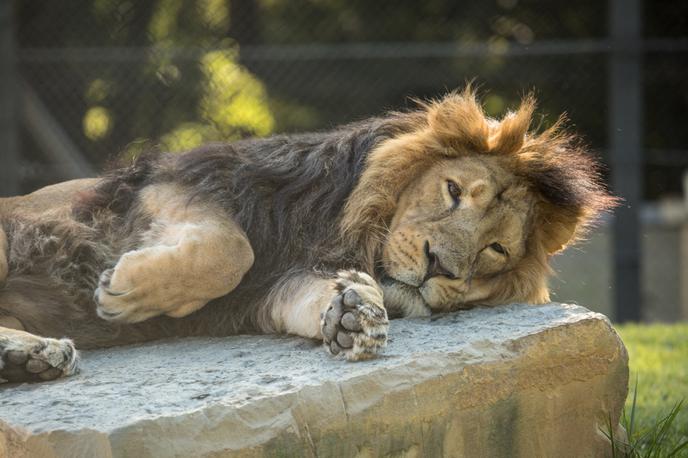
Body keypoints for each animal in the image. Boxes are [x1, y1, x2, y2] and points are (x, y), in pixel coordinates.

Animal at [0, 88, 616, 382]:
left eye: (496, 250)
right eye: (454, 191)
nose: (439, 264)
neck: (346, 234)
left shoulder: (266, 293)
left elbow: (297, 295)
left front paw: (353, 314)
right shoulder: (178, 180)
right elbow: (232, 250)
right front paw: (123, 290)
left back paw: (32, 357)